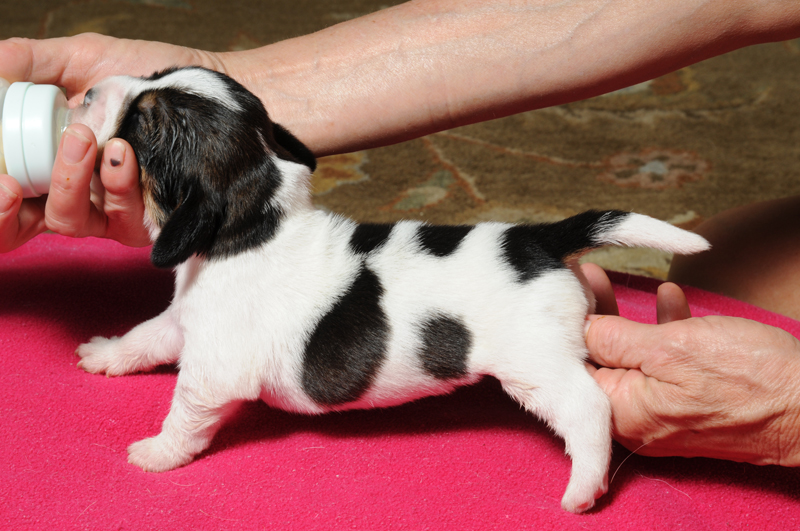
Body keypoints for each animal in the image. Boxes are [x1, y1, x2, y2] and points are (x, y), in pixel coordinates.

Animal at [69, 66, 708, 512]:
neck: (256, 222)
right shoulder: (185, 320)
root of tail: (536, 240)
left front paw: (155, 454)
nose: (86, 91)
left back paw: (584, 487)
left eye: (142, 122)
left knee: (588, 408)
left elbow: (185, 414)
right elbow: (144, 337)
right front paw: (104, 353)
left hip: (536, 364)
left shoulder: (214, 370)